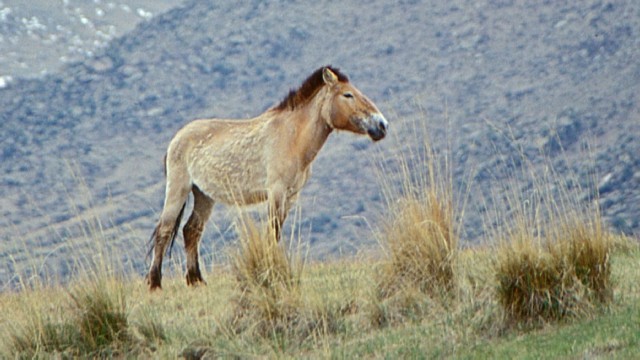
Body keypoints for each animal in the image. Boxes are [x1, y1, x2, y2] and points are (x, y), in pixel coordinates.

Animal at [148, 65, 388, 290]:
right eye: (348, 95)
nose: (381, 125)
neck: (291, 135)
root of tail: (176, 139)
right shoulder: (277, 192)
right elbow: (272, 231)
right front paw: (272, 271)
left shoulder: (290, 196)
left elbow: (276, 233)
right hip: (178, 189)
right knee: (164, 231)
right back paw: (155, 283)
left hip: (204, 196)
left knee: (191, 231)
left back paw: (195, 280)